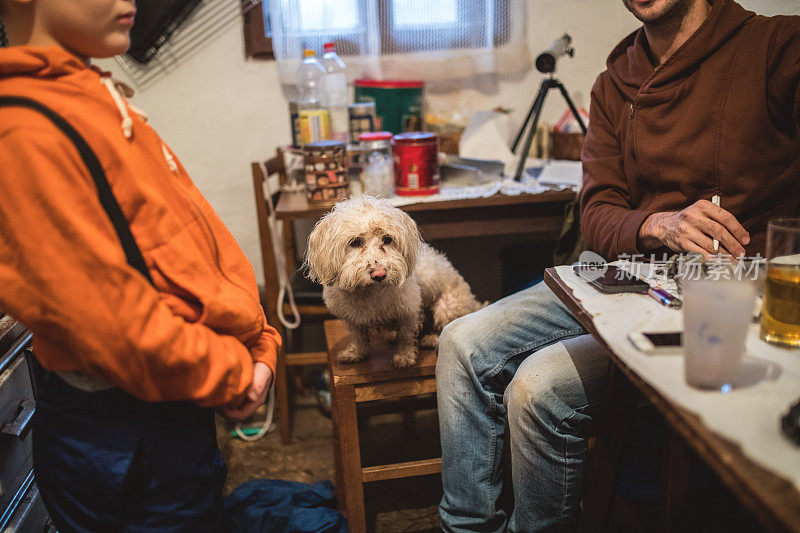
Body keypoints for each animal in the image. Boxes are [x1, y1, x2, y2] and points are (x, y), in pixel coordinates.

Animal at [304, 197, 482, 368]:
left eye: (387, 239)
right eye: (355, 242)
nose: (379, 274)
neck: (369, 292)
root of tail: (473, 304)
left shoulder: (408, 311)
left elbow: (406, 338)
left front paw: (404, 357)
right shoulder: (352, 318)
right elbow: (359, 338)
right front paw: (356, 353)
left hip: (446, 308)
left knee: (444, 326)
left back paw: (431, 338)